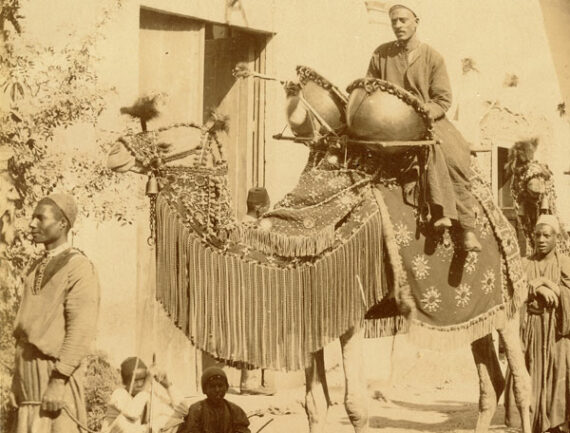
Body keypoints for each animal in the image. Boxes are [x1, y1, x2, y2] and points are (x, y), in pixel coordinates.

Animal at [106, 66, 528, 430]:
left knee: (521, 382)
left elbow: (355, 405)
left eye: (164, 141)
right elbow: (314, 404)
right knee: (490, 382)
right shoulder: (311, 310)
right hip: (476, 313)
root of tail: (500, 218)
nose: (114, 152)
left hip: (507, 304)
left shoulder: (350, 310)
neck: (295, 236)